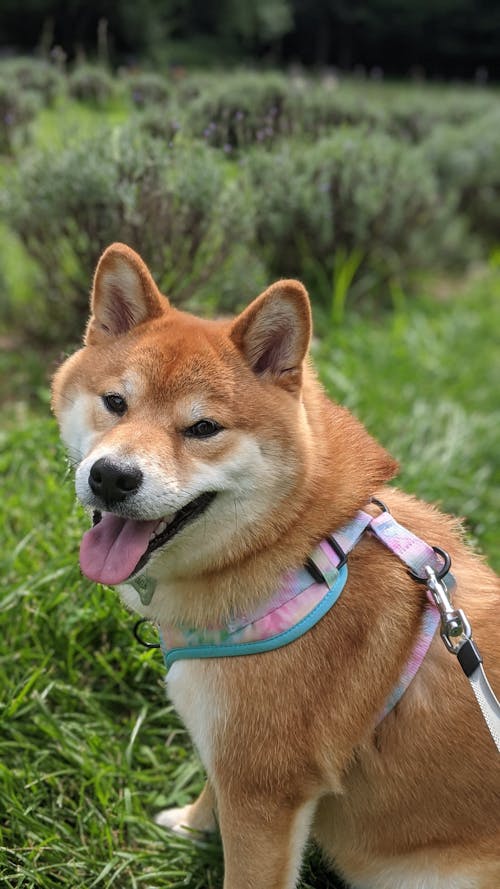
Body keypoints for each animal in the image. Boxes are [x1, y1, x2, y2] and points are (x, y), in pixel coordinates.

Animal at [51, 243, 500, 888]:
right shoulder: (232, 760)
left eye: (203, 428)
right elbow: (211, 790)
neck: (299, 551)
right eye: (115, 403)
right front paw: (190, 827)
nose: (111, 476)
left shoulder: (263, 791)